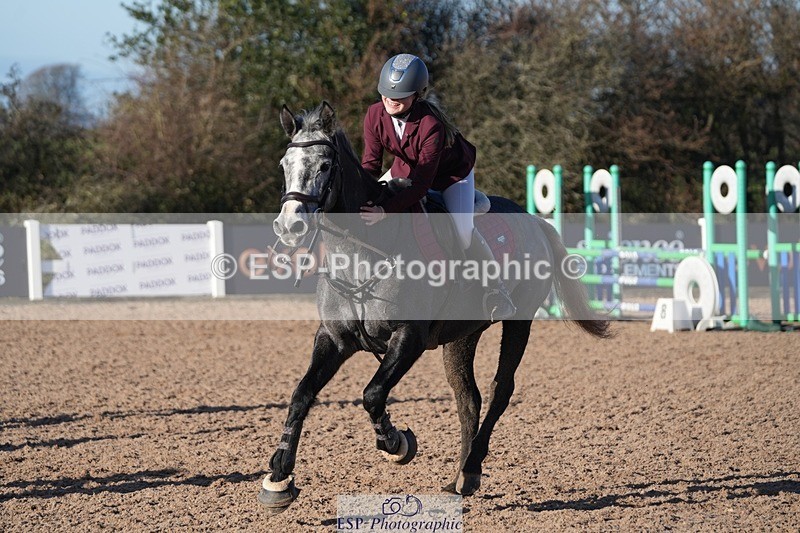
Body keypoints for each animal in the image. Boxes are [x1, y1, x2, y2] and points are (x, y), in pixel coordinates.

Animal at [259, 101, 610, 512]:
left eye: (325, 166)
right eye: (284, 164)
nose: (289, 227)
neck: (361, 250)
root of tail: (535, 222)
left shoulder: (408, 338)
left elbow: (372, 394)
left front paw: (396, 444)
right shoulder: (333, 339)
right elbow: (301, 395)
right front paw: (279, 477)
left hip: (519, 322)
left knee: (500, 390)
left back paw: (472, 467)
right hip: (461, 336)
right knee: (468, 398)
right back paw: (459, 478)